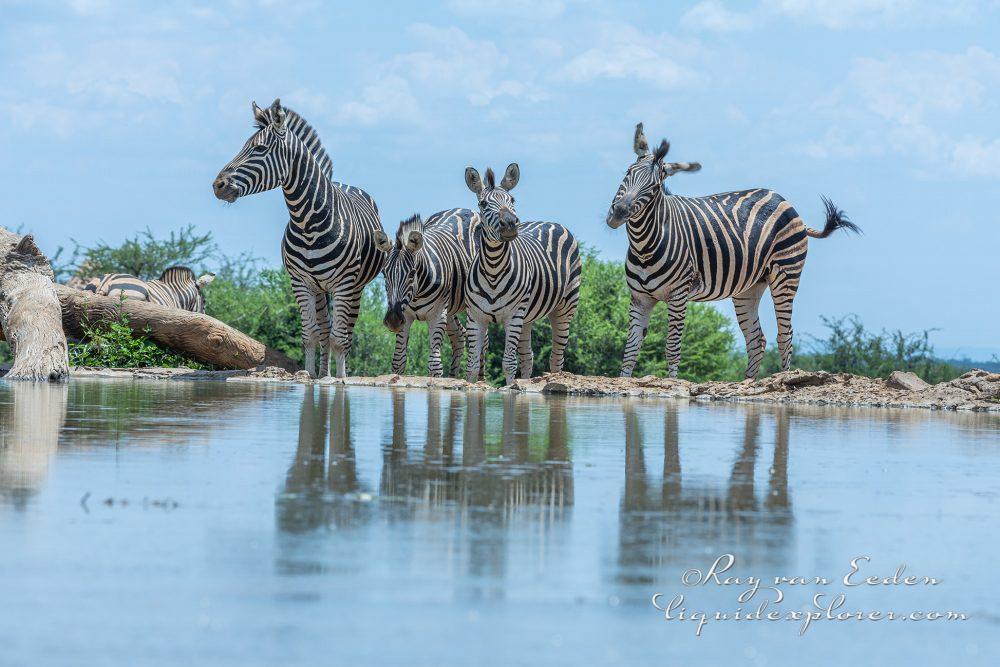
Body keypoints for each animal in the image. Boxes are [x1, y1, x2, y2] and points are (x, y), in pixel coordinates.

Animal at [376, 207, 484, 376]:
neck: (416, 294)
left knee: (483, 343)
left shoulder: (438, 314)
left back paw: (480, 379)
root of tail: (466, 209)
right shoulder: (405, 315)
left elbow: (435, 364)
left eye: (412, 273)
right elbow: (398, 360)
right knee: (459, 336)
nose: (393, 320)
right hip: (450, 308)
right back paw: (452, 377)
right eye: (384, 273)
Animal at [462, 162, 584, 386]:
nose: (510, 223)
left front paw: (510, 388)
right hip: (527, 318)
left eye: (512, 200)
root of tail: (550, 221)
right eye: (483, 203)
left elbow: (509, 363)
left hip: (564, 307)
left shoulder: (513, 315)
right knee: (528, 356)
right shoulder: (475, 316)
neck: (493, 269)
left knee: (556, 358)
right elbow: (472, 364)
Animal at [608, 122, 860, 378]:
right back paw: (747, 383)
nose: (618, 213)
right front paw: (625, 380)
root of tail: (784, 200)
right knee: (756, 339)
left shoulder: (678, 295)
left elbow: (672, 347)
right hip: (749, 286)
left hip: (786, 275)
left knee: (785, 336)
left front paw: (672, 382)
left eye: (655, 187)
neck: (644, 245)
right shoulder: (639, 298)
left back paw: (783, 378)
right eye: (627, 173)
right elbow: (631, 348)